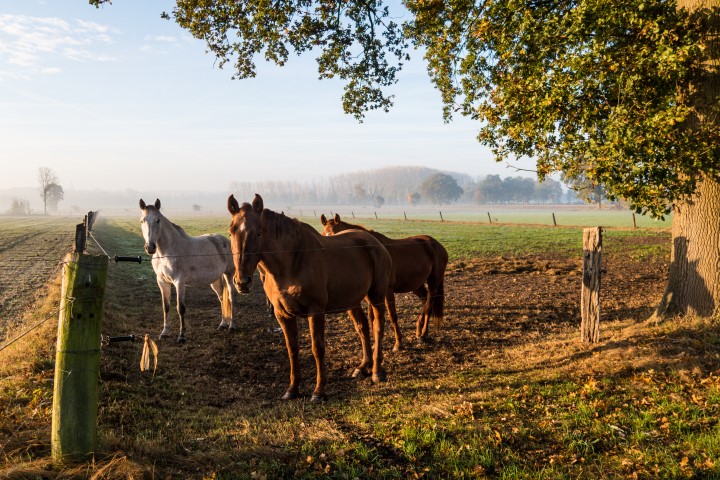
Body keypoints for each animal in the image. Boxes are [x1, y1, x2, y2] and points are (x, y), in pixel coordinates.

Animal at [142, 198, 238, 342]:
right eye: (142, 220)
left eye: (158, 220)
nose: (150, 247)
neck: (167, 251)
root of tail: (225, 240)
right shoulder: (162, 282)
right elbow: (166, 307)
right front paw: (164, 332)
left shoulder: (179, 282)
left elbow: (180, 308)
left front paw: (182, 336)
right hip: (215, 280)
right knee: (222, 298)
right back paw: (222, 324)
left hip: (229, 274)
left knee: (231, 296)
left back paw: (231, 326)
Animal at [228, 194, 394, 402]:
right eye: (231, 232)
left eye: (259, 233)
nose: (242, 282)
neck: (291, 262)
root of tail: (375, 242)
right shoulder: (283, 315)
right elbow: (292, 350)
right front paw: (292, 389)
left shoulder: (315, 312)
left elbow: (317, 348)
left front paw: (318, 391)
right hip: (351, 300)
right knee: (362, 327)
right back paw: (363, 367)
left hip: (376, 296)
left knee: (378, 327)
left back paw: (377, 371)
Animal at [320, 212, 444, 350]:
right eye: (323, 234)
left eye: (335, 233)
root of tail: (436, 244)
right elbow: (372, 318)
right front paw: (375, 344)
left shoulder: (387, 291)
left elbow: (392, 316)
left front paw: (398, 343)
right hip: (416, 285)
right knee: (425, 300)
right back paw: (420, 331)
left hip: (433, 283)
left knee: (429, 304)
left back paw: (422, 334)